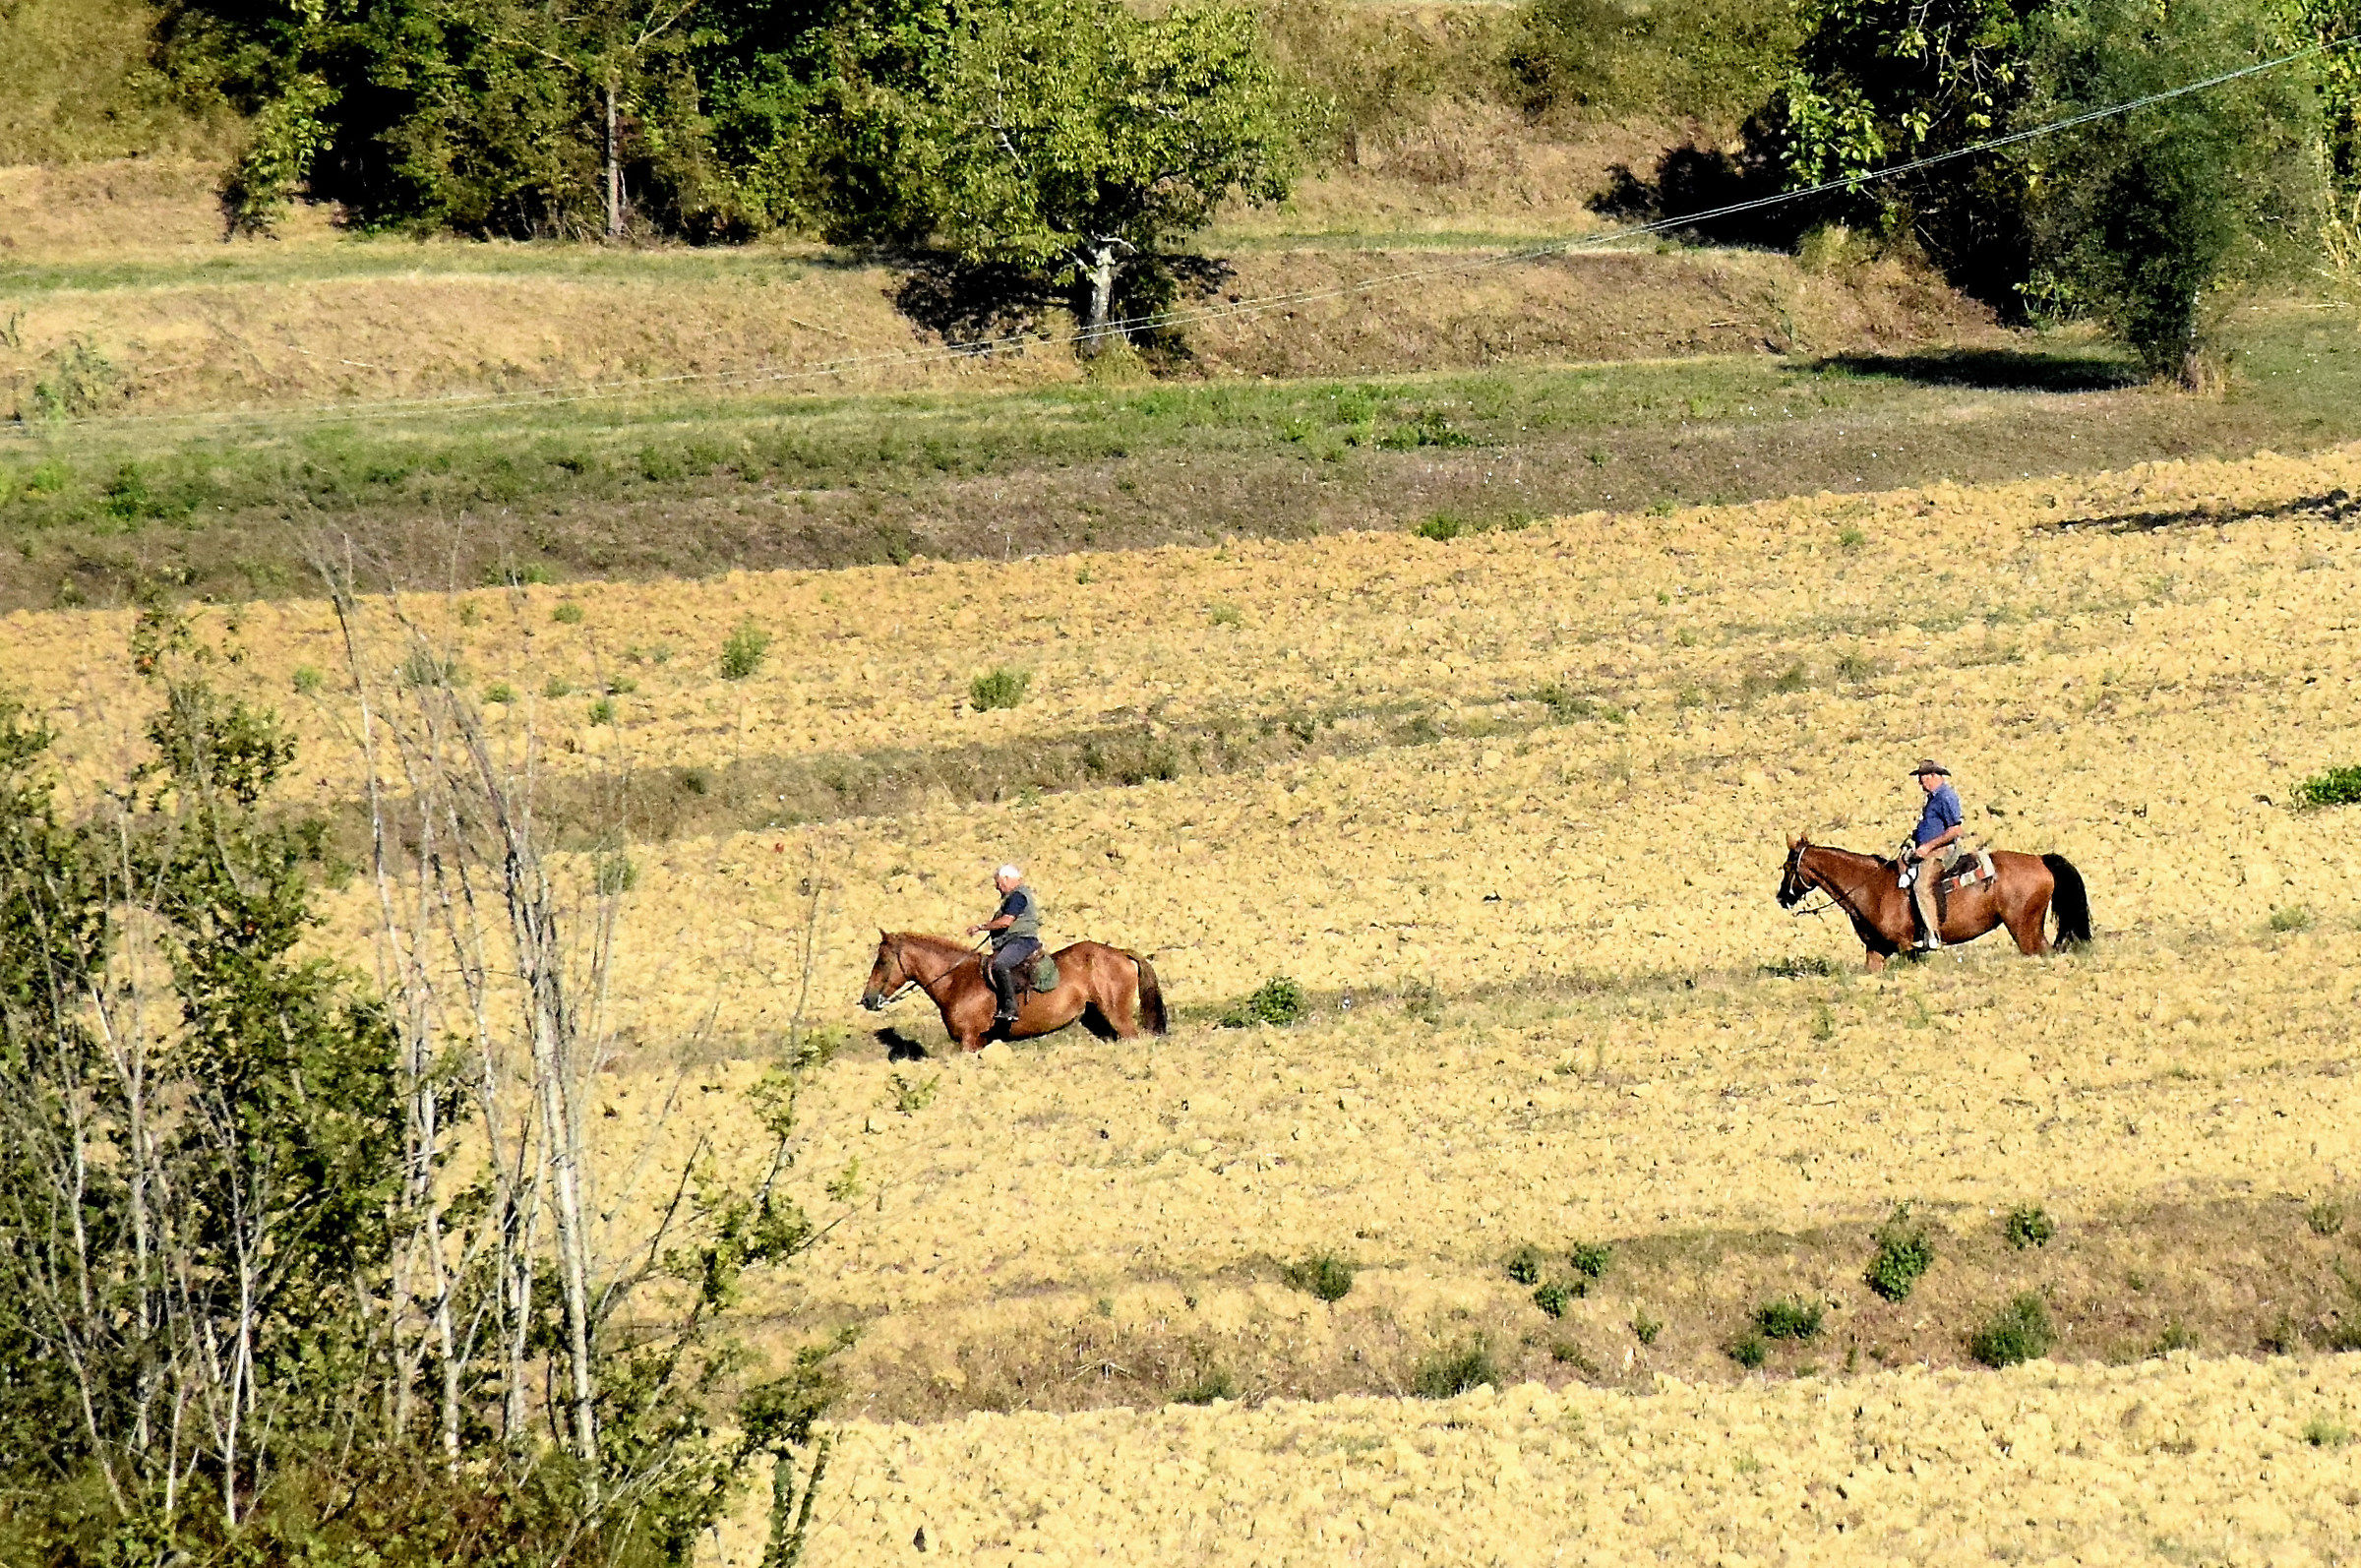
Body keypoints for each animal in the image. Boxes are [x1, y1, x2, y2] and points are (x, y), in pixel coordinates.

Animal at [860, 930, 1168, 1053]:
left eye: (882, 961)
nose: (867, 999)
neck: (957, 980)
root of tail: (1120, 953)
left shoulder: (969, 1041)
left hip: (1119, 1016)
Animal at [1776, 834, 2091, 973]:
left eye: (1787, 867)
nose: (1781, 897)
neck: (1870, 887)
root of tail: (2040, 860)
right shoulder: (1876, 950)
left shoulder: (1907, 947)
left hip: (2025, 930)